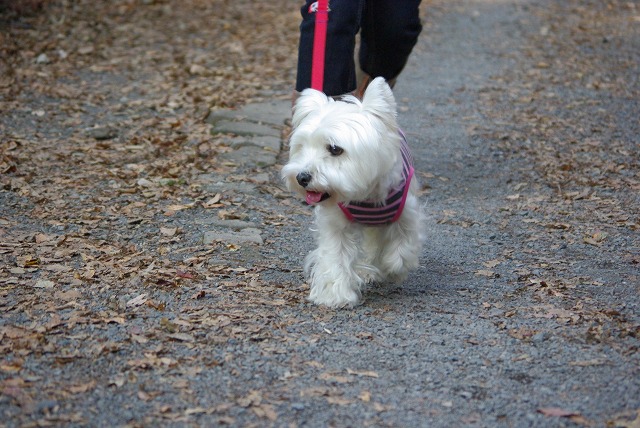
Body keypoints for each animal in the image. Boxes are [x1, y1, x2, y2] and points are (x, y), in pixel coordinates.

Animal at [282, 77, 422, 308]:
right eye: (302, 146)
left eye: (335, 149)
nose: (302, 177)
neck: (363, 196)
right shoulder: (335, 224)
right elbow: (335, 255)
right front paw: (335, 294)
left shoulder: (406, 212)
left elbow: (402, 248)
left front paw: (392, 269)